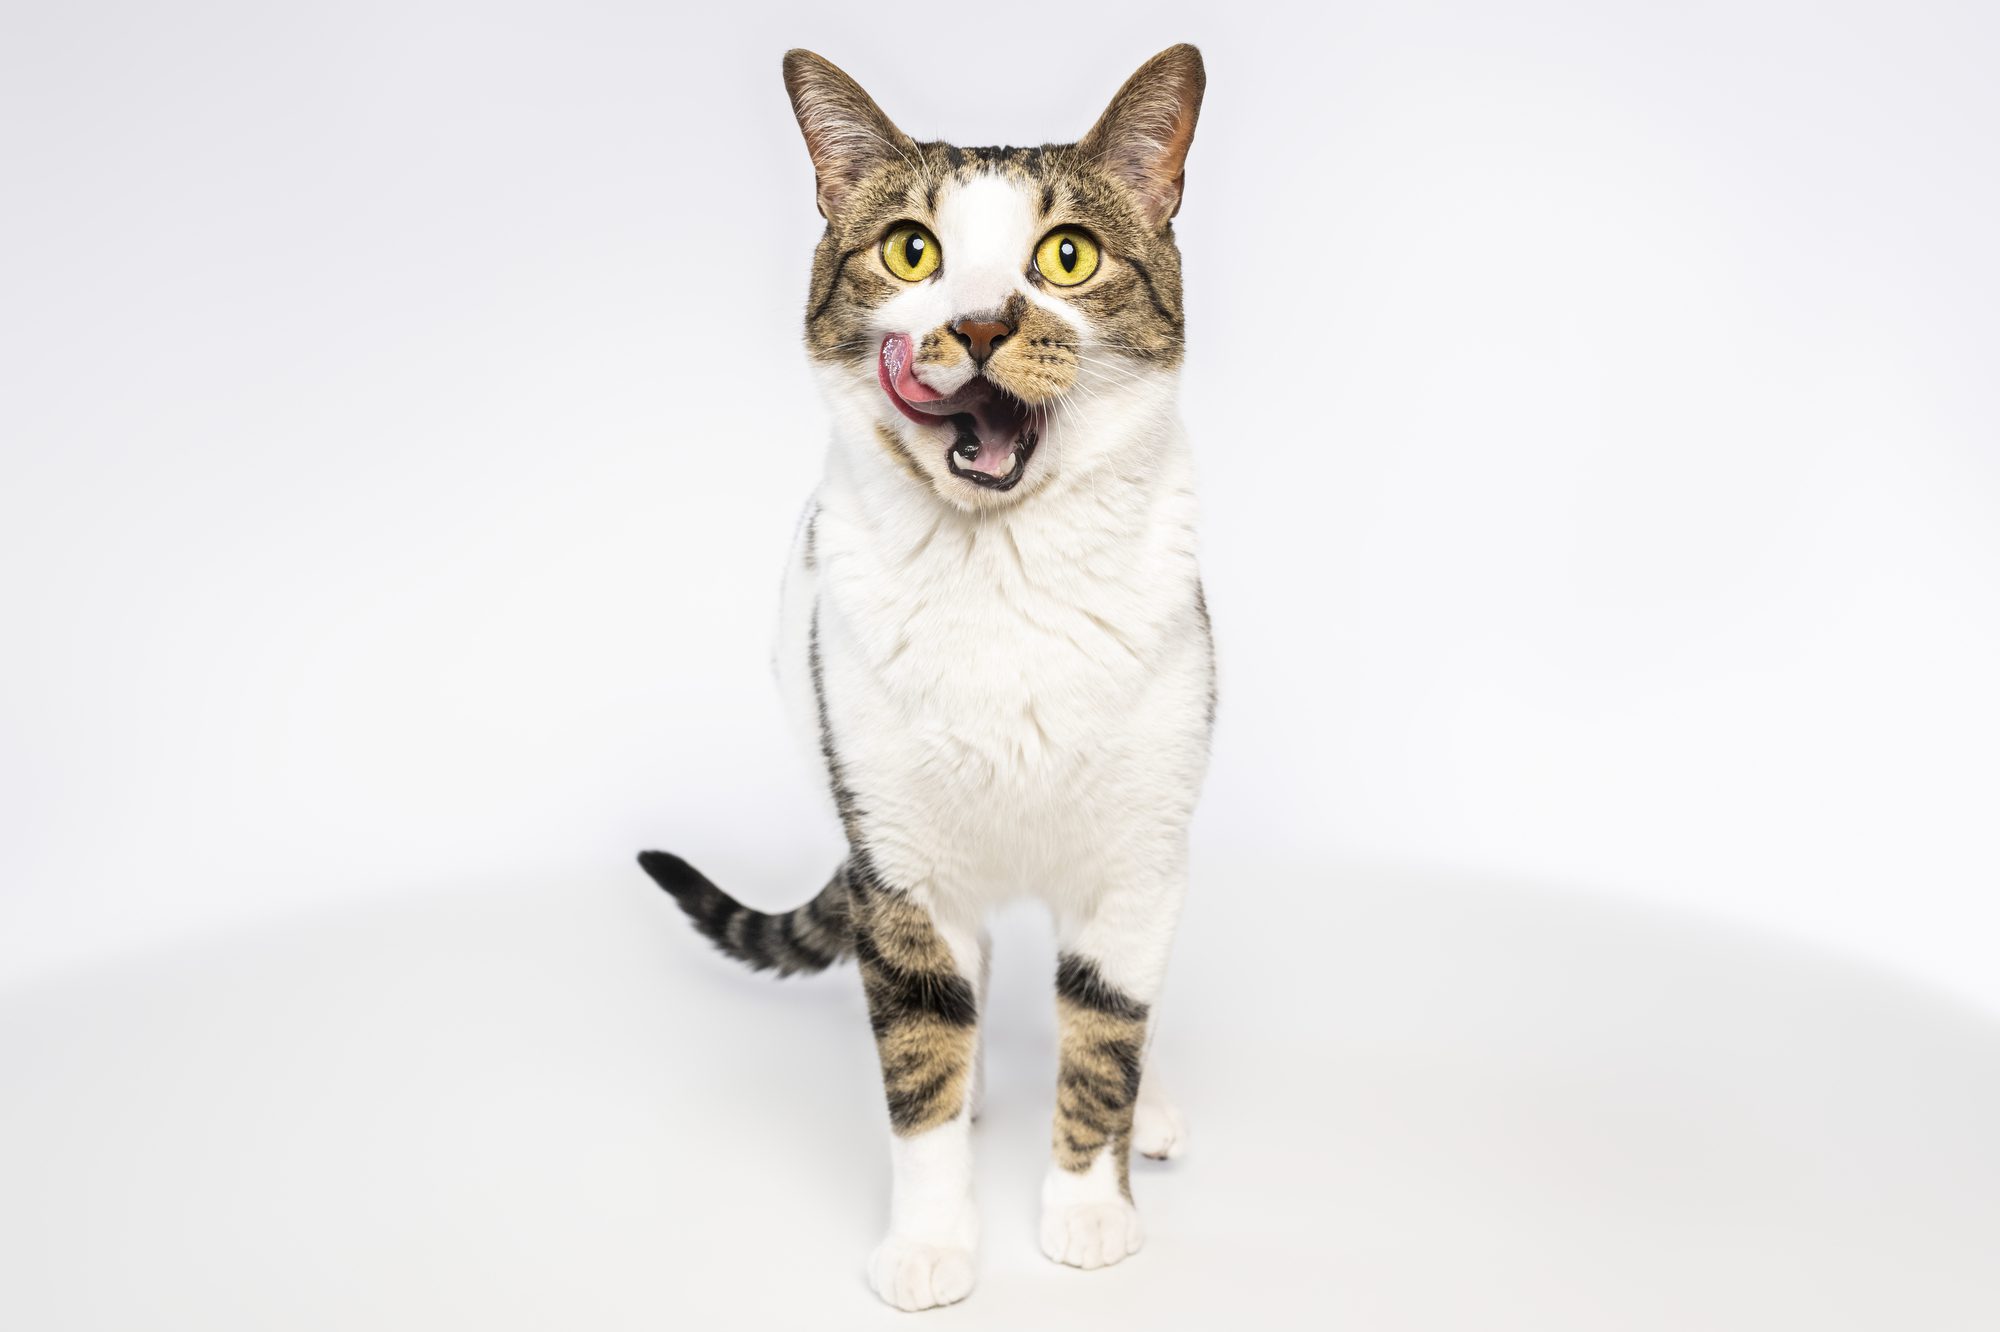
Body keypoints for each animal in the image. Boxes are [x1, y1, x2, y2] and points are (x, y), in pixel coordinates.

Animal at [640, 41, 1208, 1304]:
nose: (982, 324)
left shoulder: (1135, 852)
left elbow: (1105, 1034)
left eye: (1065, 256)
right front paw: (933, 1240)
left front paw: (1088, 1209)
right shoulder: (893, 862)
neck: (1001, 576)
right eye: (911, 251)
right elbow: (920, 1062)